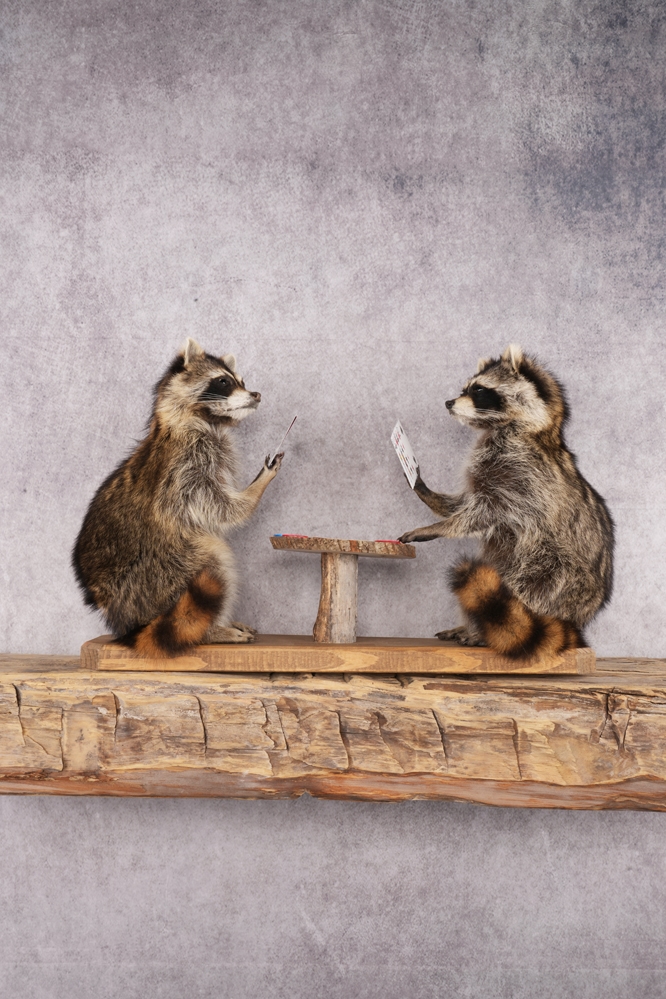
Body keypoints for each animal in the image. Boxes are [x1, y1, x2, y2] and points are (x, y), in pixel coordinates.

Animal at [73, 339, 282, 657]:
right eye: (223, 382)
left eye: (242, 381)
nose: (256, 395)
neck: (200, 419)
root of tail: (131, 623)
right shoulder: (185, 468)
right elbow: (221, 509)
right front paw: (256, 487)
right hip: (167, 567)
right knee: (214, 558)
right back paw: (211, 630)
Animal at [398, 345, 614, 661]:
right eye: (464, 389)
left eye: (478, 390)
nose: (449, 402)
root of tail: (577, 618)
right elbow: (464, 502)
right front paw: (429, 494)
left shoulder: (524, 476)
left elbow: (485, 512)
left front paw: (440, 526)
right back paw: (471, 625)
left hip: (556, 573)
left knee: (523, 588)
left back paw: (489, 631)